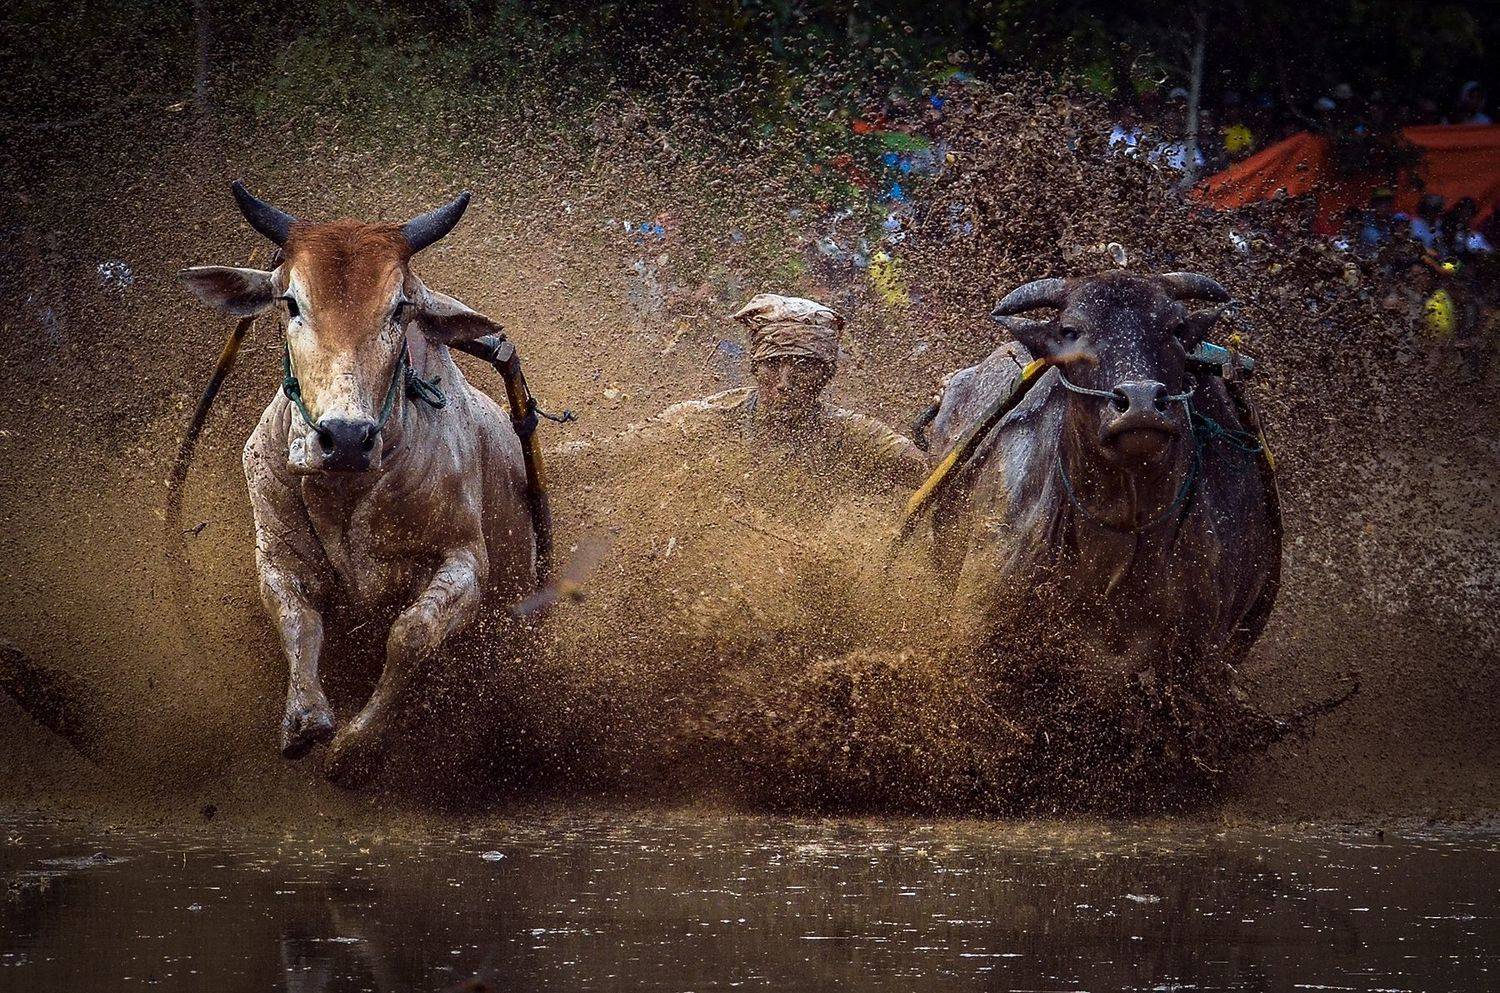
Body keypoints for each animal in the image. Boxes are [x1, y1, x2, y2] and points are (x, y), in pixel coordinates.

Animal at [180, 182, 536, 785]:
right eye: (291, 303)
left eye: (400, 308)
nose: (345, 438)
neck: (346, 490)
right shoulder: (277, 555)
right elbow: (298, 620)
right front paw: (305, 719)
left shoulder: (465, 561)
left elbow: (410, 635)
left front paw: (355, 745)